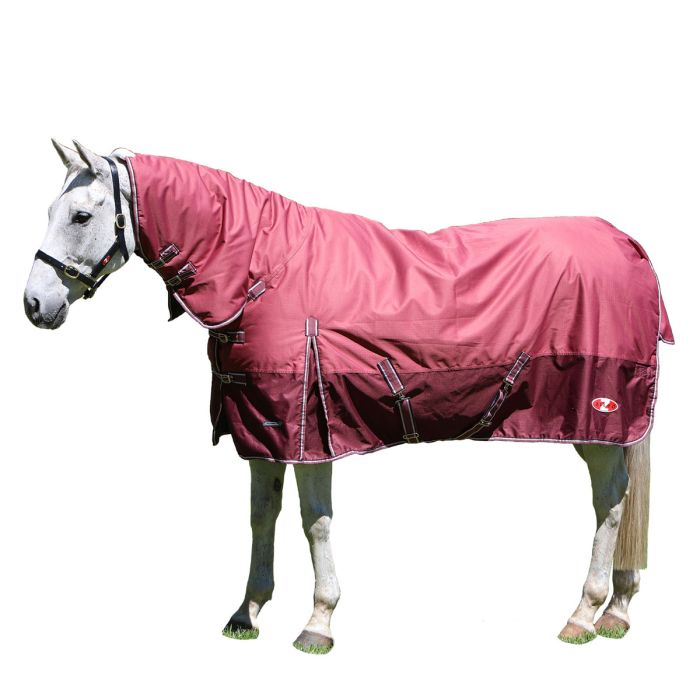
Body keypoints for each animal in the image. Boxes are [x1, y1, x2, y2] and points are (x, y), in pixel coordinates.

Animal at [24, 139, 672, 652]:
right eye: (53, 209)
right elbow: (261, 516)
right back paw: (616, 610)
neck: (263, 271)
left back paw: (583, 614)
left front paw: (318, 622)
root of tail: (629, 245)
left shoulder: (313, 429)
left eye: (80, 214)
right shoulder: (263, 427)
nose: (34, 305)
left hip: (596, 418)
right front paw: (247, 614)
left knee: (611, 502)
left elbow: (315, 522)